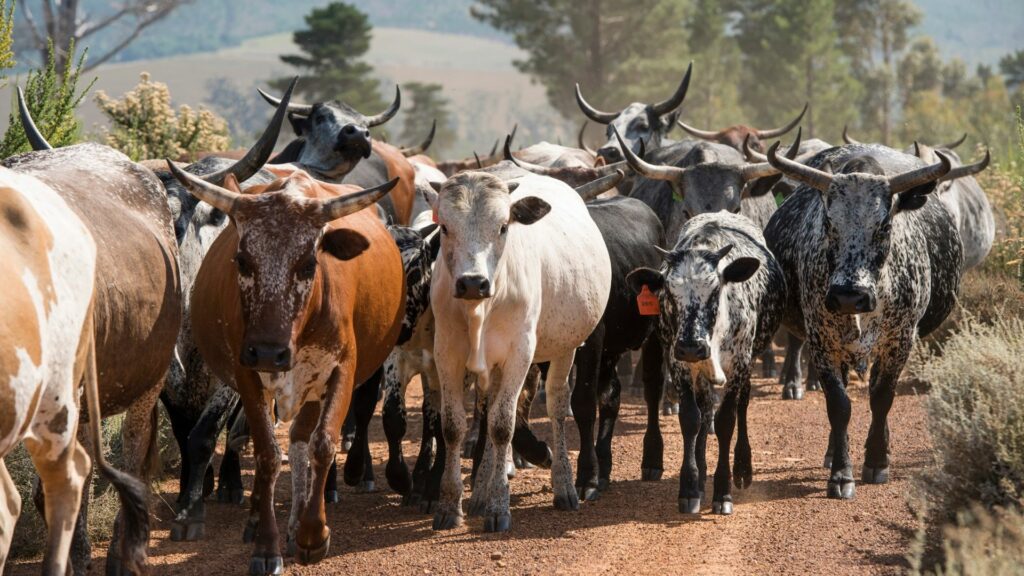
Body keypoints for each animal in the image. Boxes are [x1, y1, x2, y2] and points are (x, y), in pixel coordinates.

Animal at [168, 163, 403, 573]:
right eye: (242, 260)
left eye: (308, 264)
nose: (267, 351)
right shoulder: (246, 377)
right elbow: (266, 453)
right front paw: (267, 545)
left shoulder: (341, 371)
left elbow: (322, 445)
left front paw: (312, 534)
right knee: (283, 442)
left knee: (300, 441)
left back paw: (296, 525)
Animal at [427, 171, 611, 532]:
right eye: (444, 228)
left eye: (503, 227)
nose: (473, 283)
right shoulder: (447, 351)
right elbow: (454, 426)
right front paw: (450, 506)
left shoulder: (520, 354)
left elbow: (502, 425)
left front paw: (499, 507)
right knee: (488, 409)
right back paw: (480, 492)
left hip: (565, 348)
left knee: (556, 405)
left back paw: (564, 486)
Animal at [627, 212, 785, 514]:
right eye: (668, 291)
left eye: (715, 289)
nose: (691, 346)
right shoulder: (680, 365)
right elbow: (692, 418)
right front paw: (690, 487)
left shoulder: (739, 363)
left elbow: (726, 421)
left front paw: (723, 491)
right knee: (702, 407)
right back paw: (697, 475)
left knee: (741, 406)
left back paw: (742, 468)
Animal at [763, 142, 963, 500]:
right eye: (829, 224)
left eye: (884, 226)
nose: (848, 296)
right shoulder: (821, 340)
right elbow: (839, 405)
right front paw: (841, 474)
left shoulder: (901, 339)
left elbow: (882, 397)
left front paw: (877, 461)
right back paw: (833, 453)